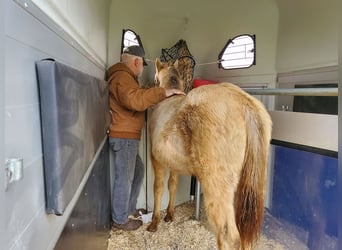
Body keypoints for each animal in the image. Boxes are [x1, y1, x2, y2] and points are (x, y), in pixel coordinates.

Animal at [147, 57, 272, 250]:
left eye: (155, 78)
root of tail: (244, 103)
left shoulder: (157, 159)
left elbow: (158, 188)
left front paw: (154, 222)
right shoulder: (173, 163)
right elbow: (172, 185)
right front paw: (169, 215)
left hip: (217, 186)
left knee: (228, 236)